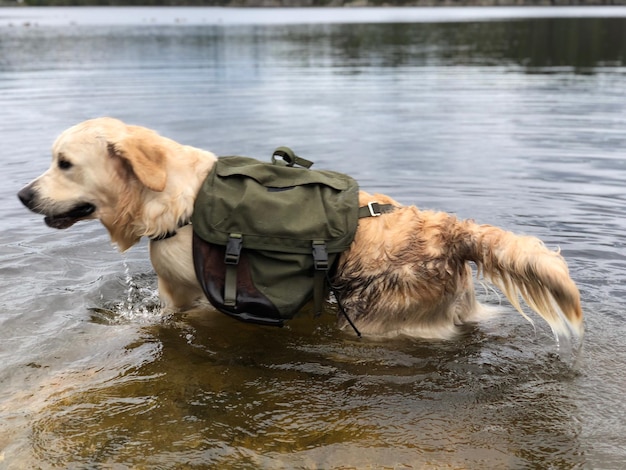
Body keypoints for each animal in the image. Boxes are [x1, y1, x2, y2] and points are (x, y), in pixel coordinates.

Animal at [18, 116, 580, 340]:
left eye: (64, 163)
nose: (23, 195)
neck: (175, 201)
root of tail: (452, 231)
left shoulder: (198, 296)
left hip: (383, 322)